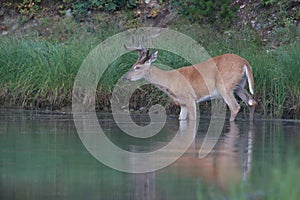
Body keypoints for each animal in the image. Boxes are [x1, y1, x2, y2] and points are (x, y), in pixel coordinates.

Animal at [123, 36, 256, 120]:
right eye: (132, 65)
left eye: (137, 67)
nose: (124, 77)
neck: (170, 80)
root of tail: (245, 62)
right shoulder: (182, 103)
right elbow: (181, 119)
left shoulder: (189, 97)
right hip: (239, 86)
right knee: (251, 102)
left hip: (225, 86)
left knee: (235, 107)